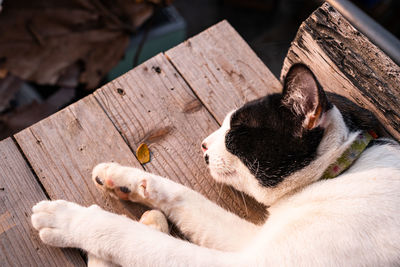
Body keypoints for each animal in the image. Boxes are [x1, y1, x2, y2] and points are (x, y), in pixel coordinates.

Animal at [30, 63, 400, 266]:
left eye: (235, 131)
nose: (204, 144)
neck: (337, 174)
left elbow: (135, 240)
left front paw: (68, 218)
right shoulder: (254, 241)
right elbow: (183, 195)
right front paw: (121, 177)